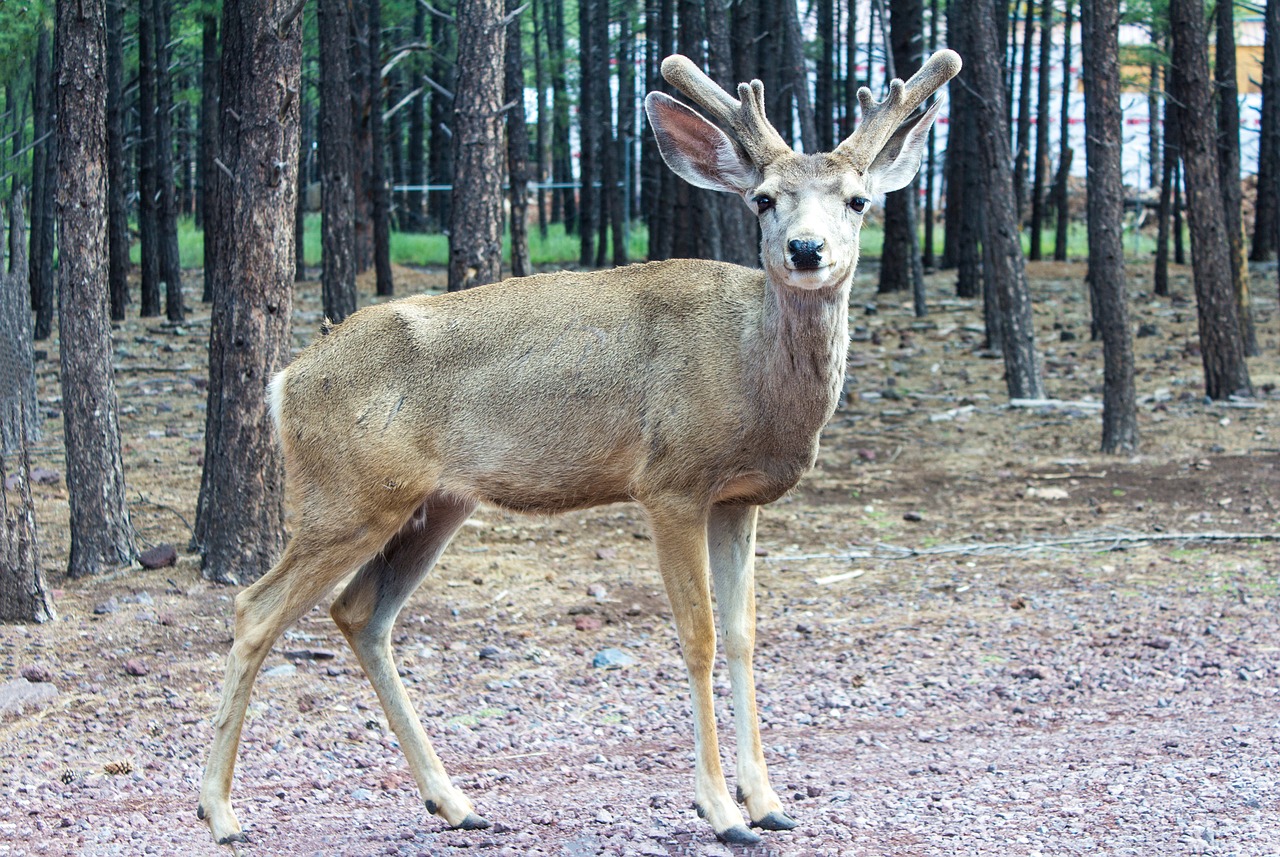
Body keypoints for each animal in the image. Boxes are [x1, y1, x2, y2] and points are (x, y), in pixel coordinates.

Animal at [197, 47, 962, 844]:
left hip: (433, 504)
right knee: (255, 608)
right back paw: (220, 811)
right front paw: (721, 810)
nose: (805, 250)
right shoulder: (671, 481)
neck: (751, 372)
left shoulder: (739, 499)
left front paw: (769, 800)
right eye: (763, 199)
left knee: (359, 612)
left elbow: (744, 633)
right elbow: (698, 635)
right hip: (347, 492)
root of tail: (285, 381)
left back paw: (454, 801)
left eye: (857, 200)